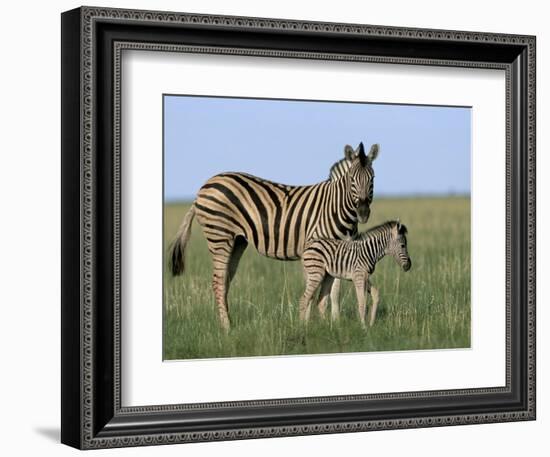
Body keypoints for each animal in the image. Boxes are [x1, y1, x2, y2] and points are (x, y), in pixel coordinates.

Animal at [170, 142, 382, 328]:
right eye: (352, 179)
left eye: (372, 178)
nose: (363, 213)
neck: (335, 208)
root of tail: (205, 185)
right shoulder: (316, 249)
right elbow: (315, 290)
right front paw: (307, 324)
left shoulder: (341, 252)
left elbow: (335, 290)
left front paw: (334, 324)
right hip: (219, 235)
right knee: (218, 281)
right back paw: (226, 328)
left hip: (237, 241)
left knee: (225, 280)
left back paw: (228, 322)